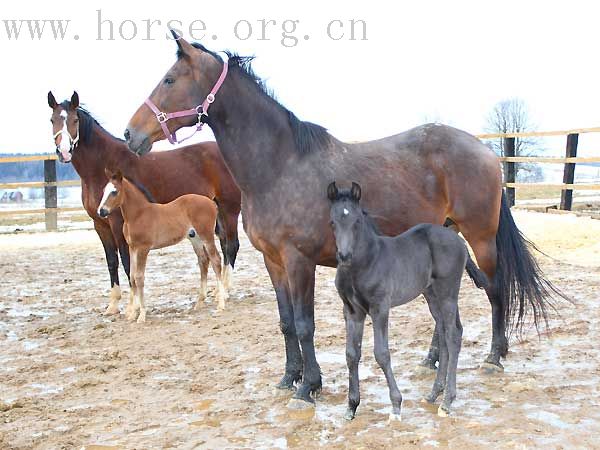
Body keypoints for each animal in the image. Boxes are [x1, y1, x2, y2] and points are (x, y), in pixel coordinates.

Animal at [97, 171, 226, 322]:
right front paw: (133, 314)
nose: (101, 211)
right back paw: (199, 303)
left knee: (216, 260)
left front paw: (142, 315)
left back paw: (221, 304)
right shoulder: (132, 248)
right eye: (103, 190)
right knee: (203, 261)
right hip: (195, 238)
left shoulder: (143, 248)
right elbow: (132, 276)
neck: (138, 215)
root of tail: (211, 202)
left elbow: (139, 277)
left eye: (114, 191)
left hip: (206, 235)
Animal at [330, 181, 490, 420]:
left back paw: (446, 402)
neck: (364, 262)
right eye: (332, 222)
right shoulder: (351, 311)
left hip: (448, 292)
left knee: (452, 336)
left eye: (357, 221)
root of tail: (459, 240)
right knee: (445, 333)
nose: (344, 256)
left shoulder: (380, 308)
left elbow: (381, 353)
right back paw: (433, 394)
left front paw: (396, 406)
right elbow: (351, 354)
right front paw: (351, 407)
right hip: (432, 295)